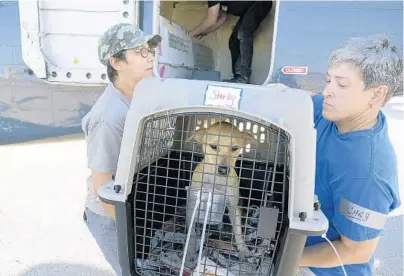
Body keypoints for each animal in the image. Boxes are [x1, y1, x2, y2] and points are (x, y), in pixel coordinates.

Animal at [187, 121, 256, 254]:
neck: (217, 180)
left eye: (235, 148)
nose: (223, 170)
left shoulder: (234, 208)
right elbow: (191, 229)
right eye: (213, 146)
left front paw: (243, 249)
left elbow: (238, 230)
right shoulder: (194, 203)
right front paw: (190, 247)